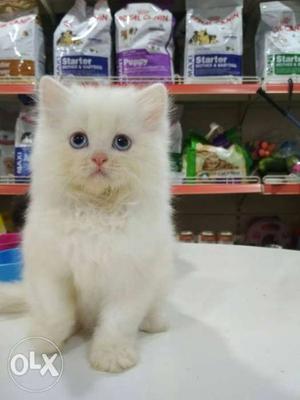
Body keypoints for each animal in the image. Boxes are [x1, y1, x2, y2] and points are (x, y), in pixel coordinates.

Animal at [0, 77, 173, 372]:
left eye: (121, 143)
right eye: (78, 140)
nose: (99, 158)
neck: (95, 211)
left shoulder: (130, 280)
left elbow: (117, 324)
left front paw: (111, 358)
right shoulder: (51, 273)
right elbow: (56, 314)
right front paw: (45, 342)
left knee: (154, 309)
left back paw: (155, 323)